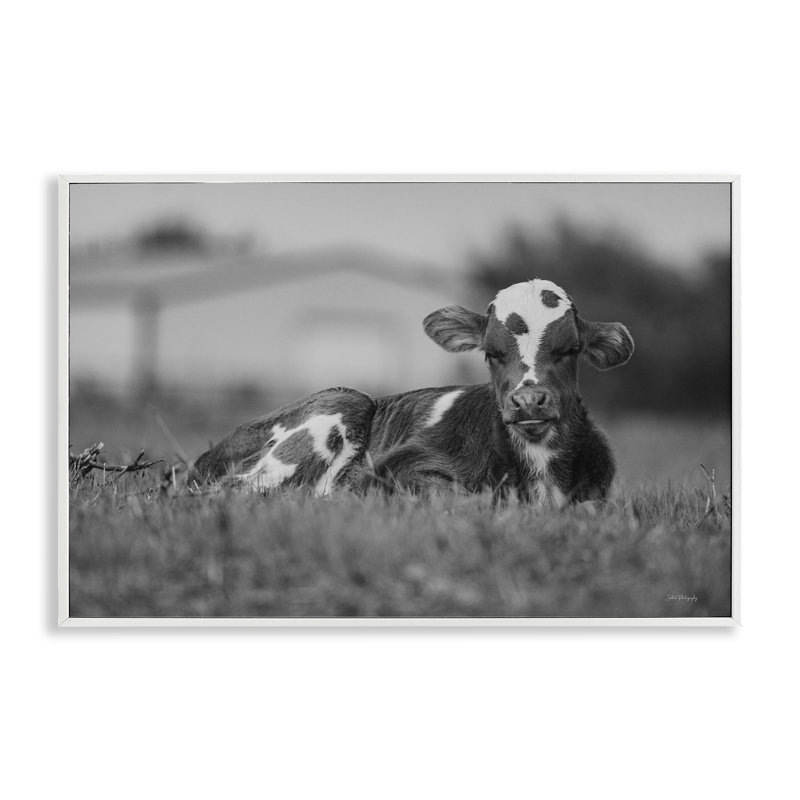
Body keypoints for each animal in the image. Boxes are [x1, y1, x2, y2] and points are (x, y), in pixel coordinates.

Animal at [190, 278, 634, 506]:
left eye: (570, 350)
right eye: (490, 353)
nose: (528, 401)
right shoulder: (398, 465)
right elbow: (457, 497)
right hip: (342, 402)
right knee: (230, 490)